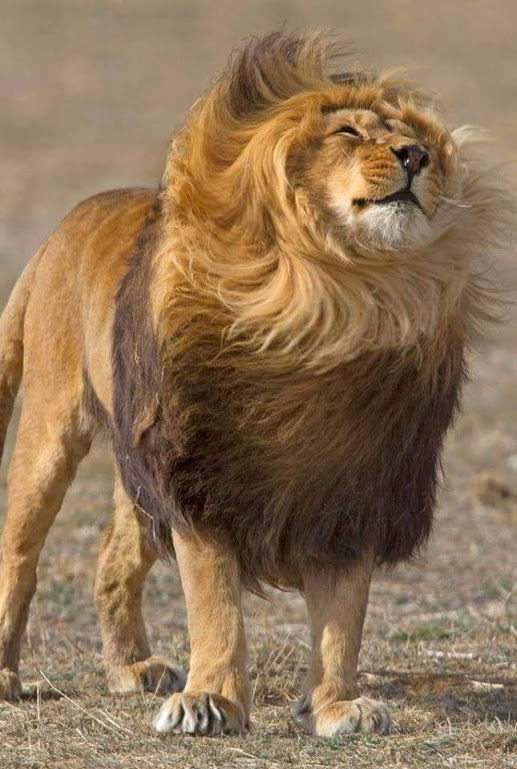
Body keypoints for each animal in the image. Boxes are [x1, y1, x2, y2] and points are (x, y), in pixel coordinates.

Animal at [0, 31, 508, 737]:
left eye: (413, 139)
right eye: (348, 131)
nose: (416, 155)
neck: (337, 297)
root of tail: (69, 221)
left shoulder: (354, 484)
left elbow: (343, 618)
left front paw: (337, 705)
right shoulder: (200, 475)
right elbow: (215, 603)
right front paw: (212, 700)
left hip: (136, 461)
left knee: (113, 557)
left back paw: (130, 669)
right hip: (53, 428)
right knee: (18, 553)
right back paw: (6, 674)